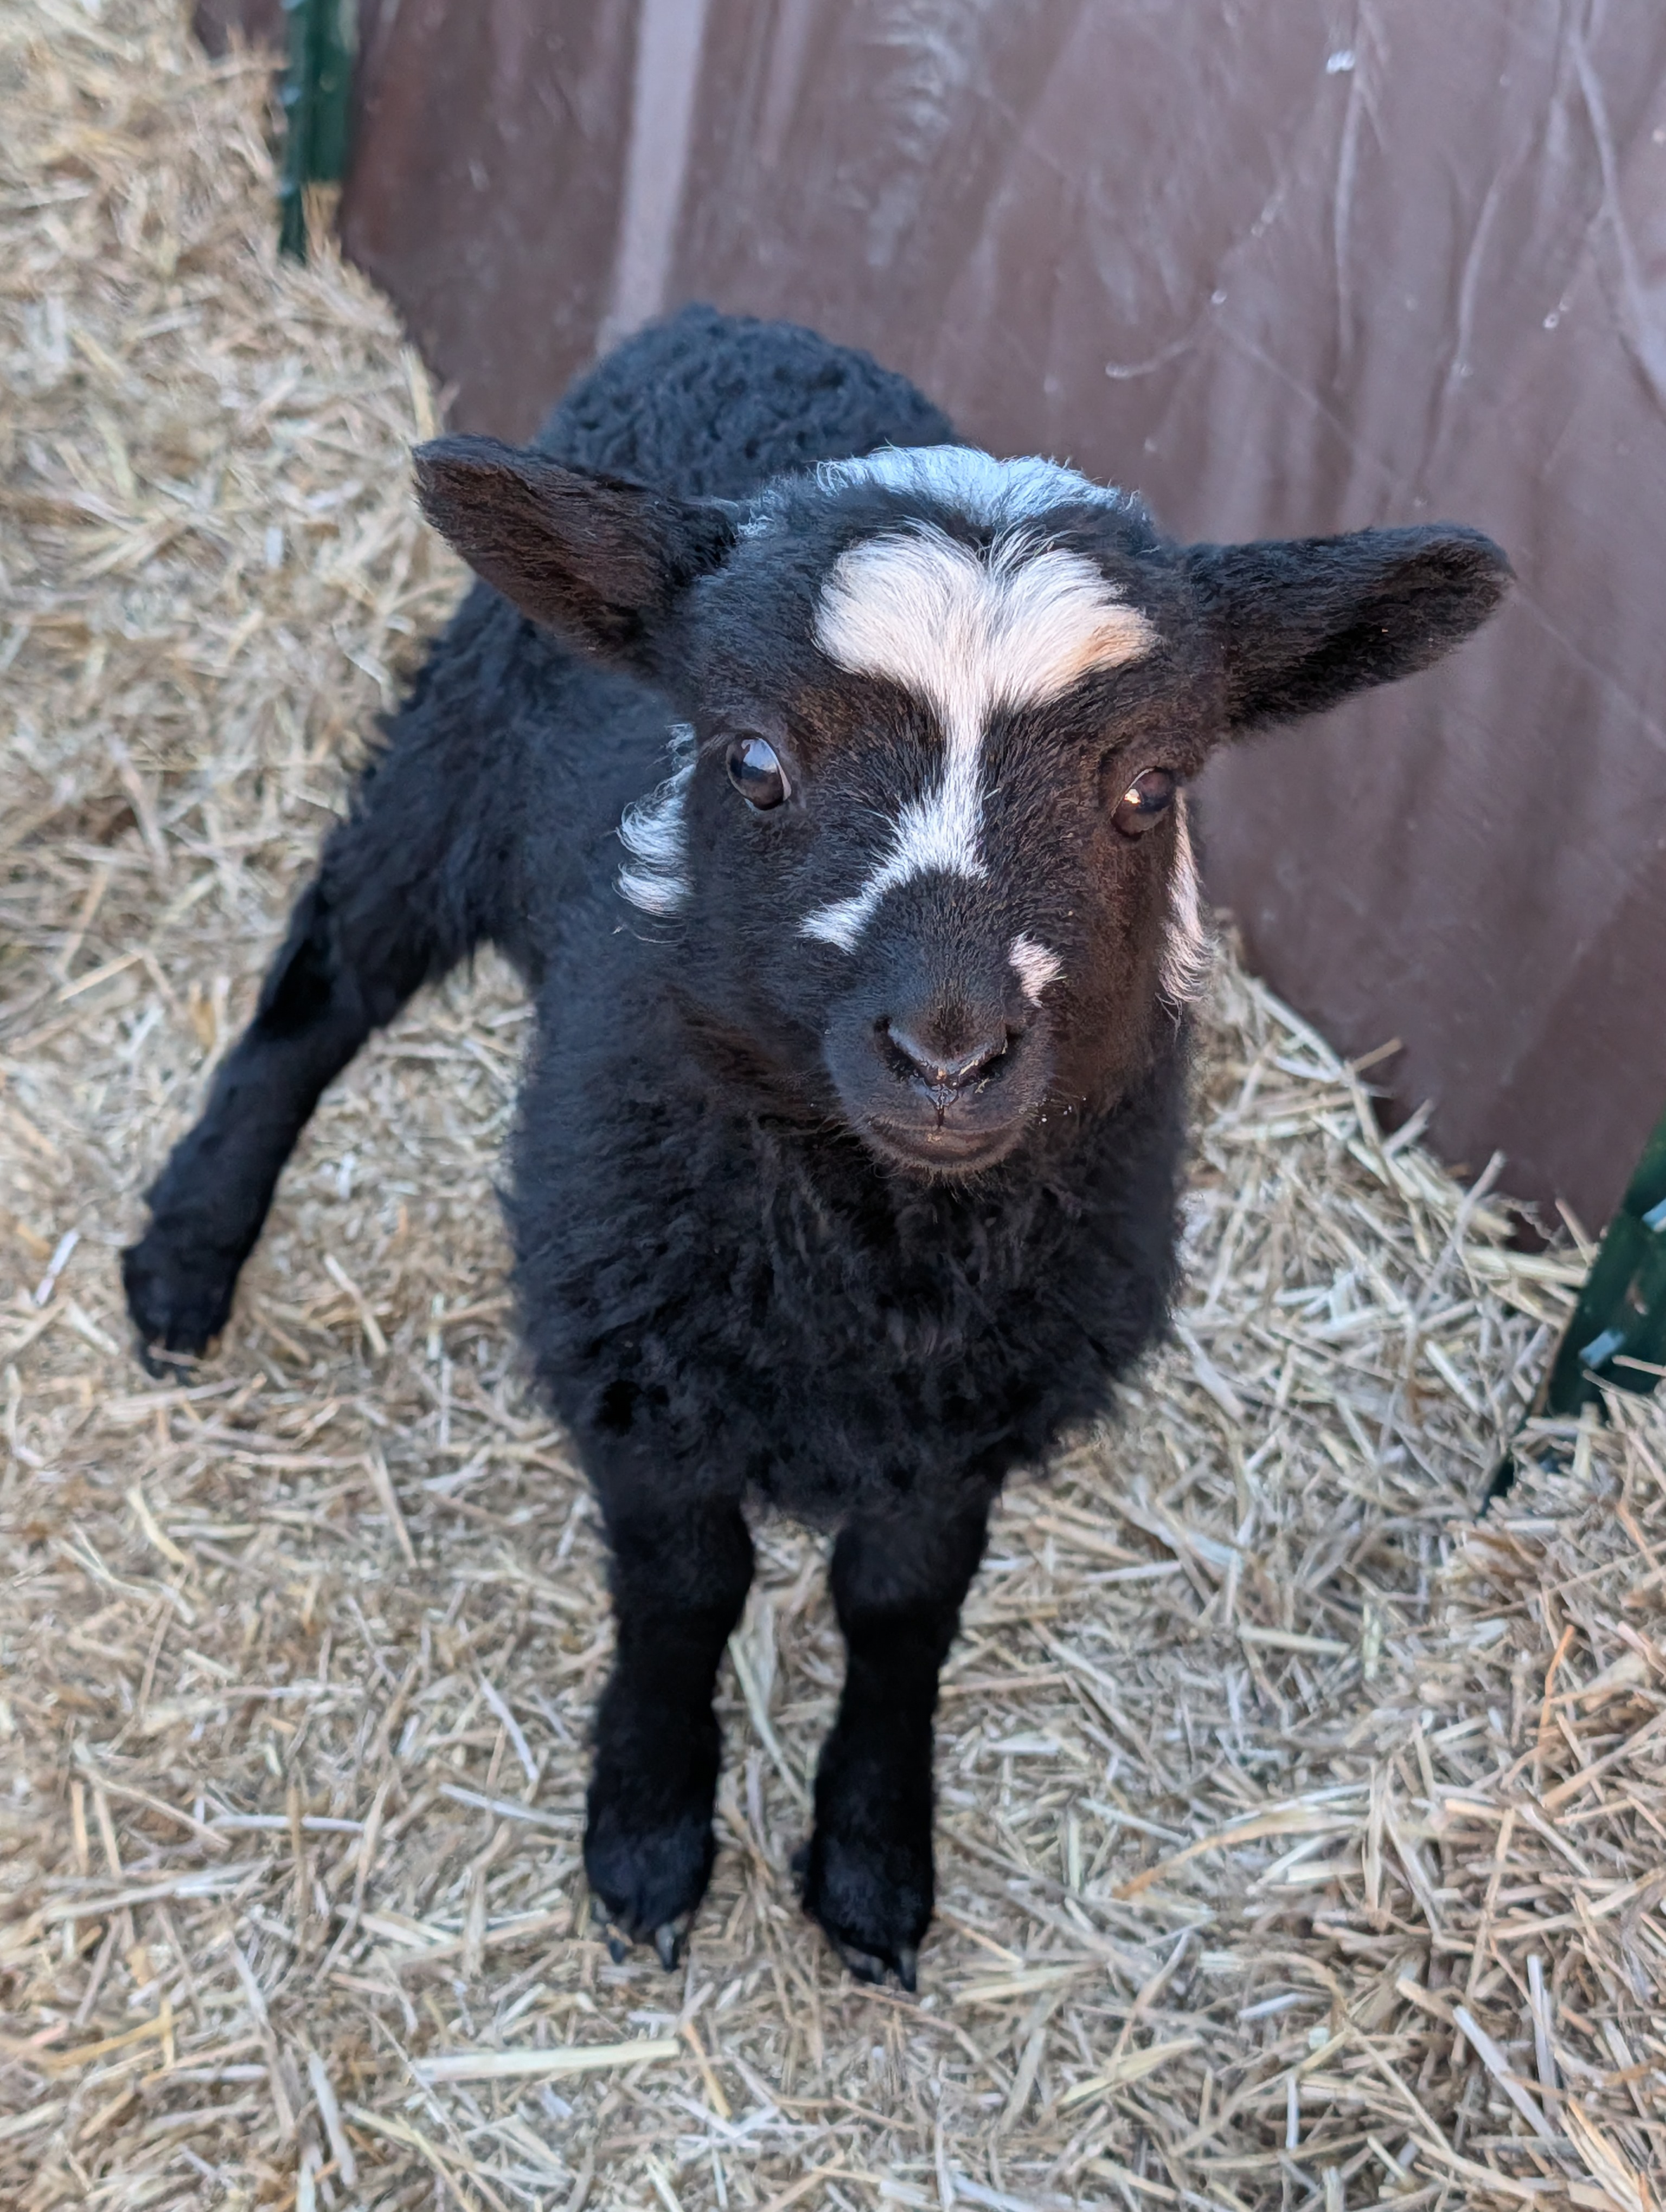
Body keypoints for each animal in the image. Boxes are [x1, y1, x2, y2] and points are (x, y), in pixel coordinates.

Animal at [123, 304, 1510, 1987]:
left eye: (1147, 787)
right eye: (755, 763)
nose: (950, 1051)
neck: (873, 1252)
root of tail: (737, 323)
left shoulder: (977, 1402)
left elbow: (899, 1605)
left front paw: (869, 1858)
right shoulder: (634, 1348)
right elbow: (685, 1588)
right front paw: (649, 1830)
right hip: (453, 755)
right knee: (324, 981)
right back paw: (189, 1256)